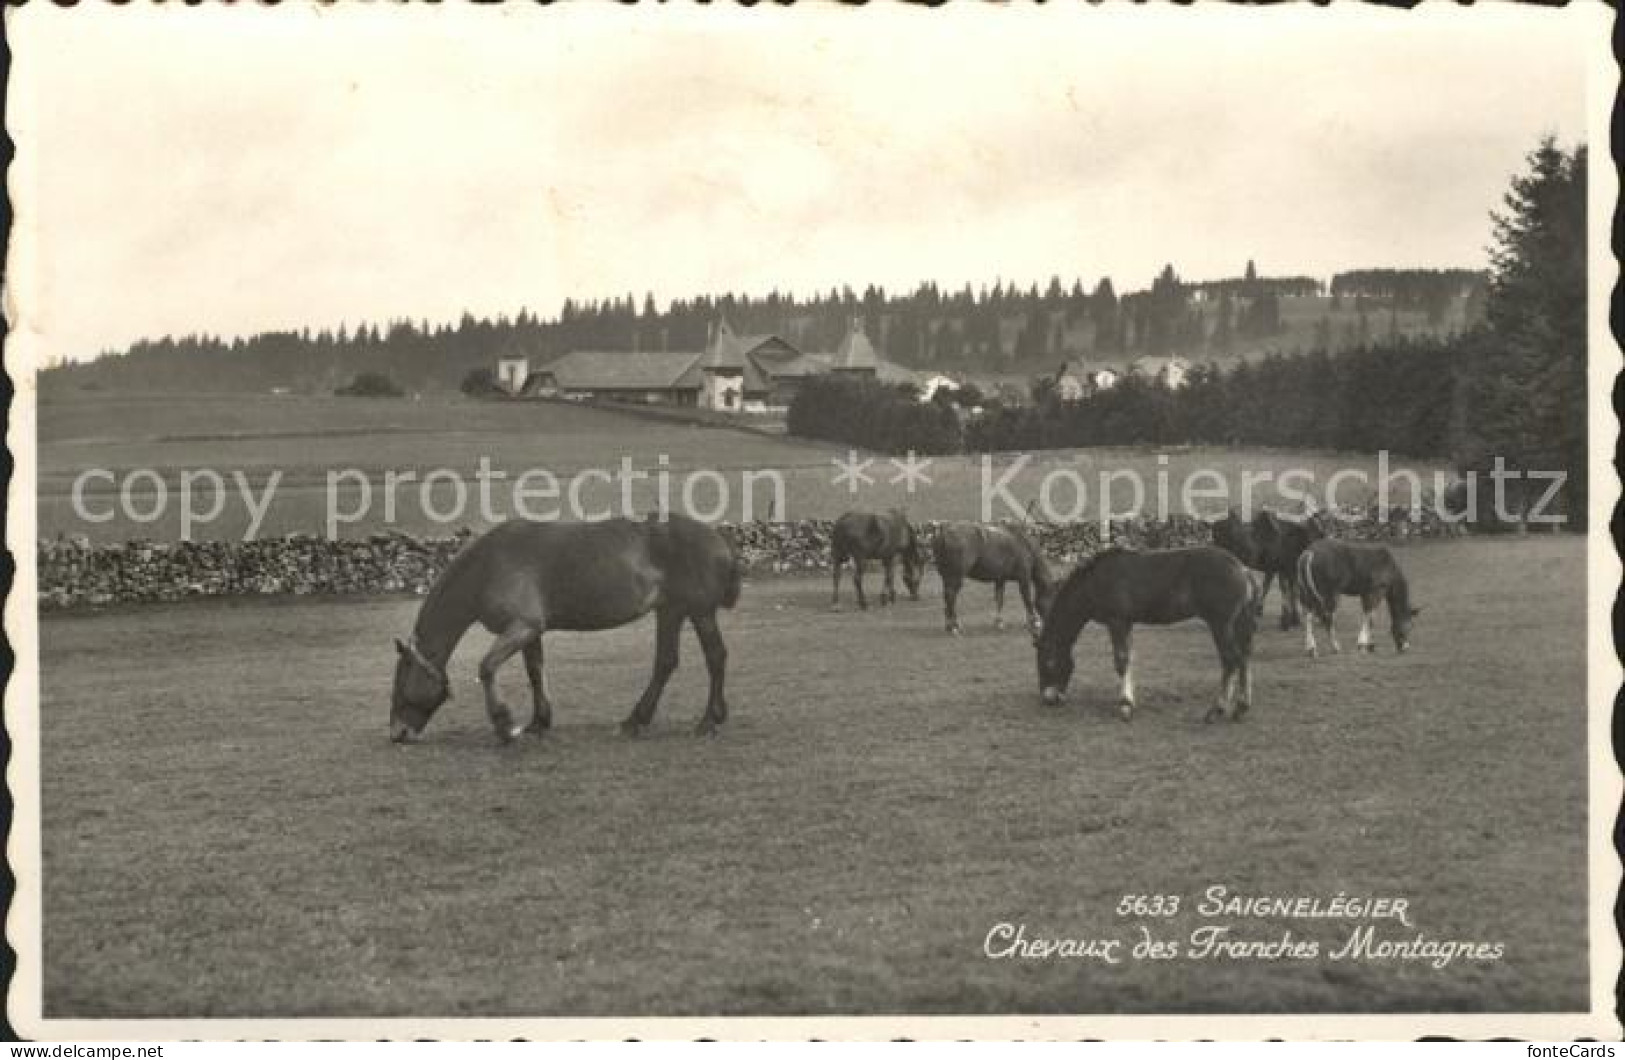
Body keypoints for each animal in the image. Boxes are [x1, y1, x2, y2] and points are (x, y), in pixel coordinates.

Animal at [390, 513, 744, 744]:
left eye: (400, 681)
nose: (397, 733)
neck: (488, 566)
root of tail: (719, 539)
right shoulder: (530, 631)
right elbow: (535, 672)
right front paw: (538, 722)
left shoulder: (523, 626)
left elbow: (487, 667)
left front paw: (505, 724)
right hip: (670, 612)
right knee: (666, 663)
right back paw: (636, 720)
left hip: (699, 613)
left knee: (715, 657)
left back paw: (708, 720)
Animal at [1027, 549, 1254, 725]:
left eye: (1047, 663)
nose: (1048, 699)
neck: (1094, 582)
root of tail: (1242, 569)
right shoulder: (1126, 624)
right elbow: (1129, 659)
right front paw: (1130, 700)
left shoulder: (1117, 622)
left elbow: (1121, 661)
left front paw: (1125, 706)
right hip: (1237, 624)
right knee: (1243, 658)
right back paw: (1240, 708)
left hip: (1220, 624)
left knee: (1231, 660)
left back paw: (1217, 710)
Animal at [1293, 539, 1423, 653]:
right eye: (1409, 626)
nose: (1405, 647)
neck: (1389, 567)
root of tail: (1309, 553)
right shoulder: (1376, 590)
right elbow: (1371, 617)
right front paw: (1363, 644)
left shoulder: (1365, 593)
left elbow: (1368, 615)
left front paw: (1370, 645)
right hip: (1330, 594)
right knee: (1327, 617)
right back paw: (1335, 646)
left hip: (1306, 593)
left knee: (1308, 616)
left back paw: (1311, 648)